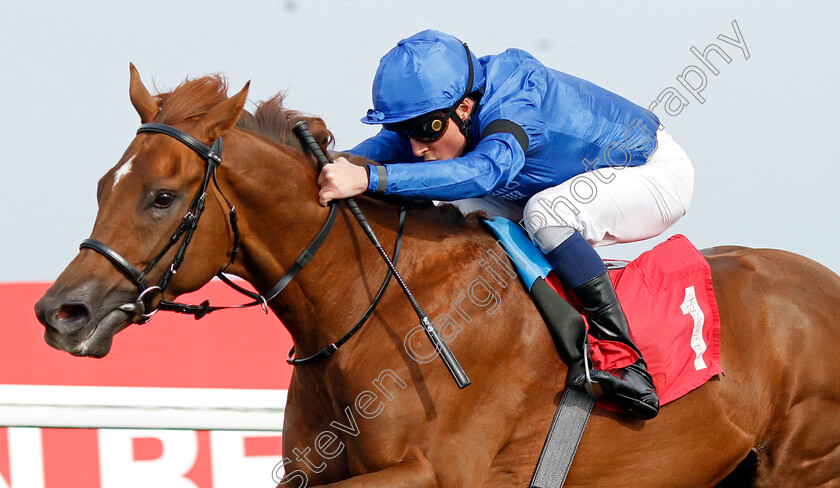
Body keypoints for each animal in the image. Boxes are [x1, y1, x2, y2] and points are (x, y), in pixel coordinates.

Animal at [36, 66, 840, 486]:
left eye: (161, 196)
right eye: (105, 185)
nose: (60, 313)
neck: (370, 306)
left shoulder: (435, 472)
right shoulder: (311, 469)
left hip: (804, 464)